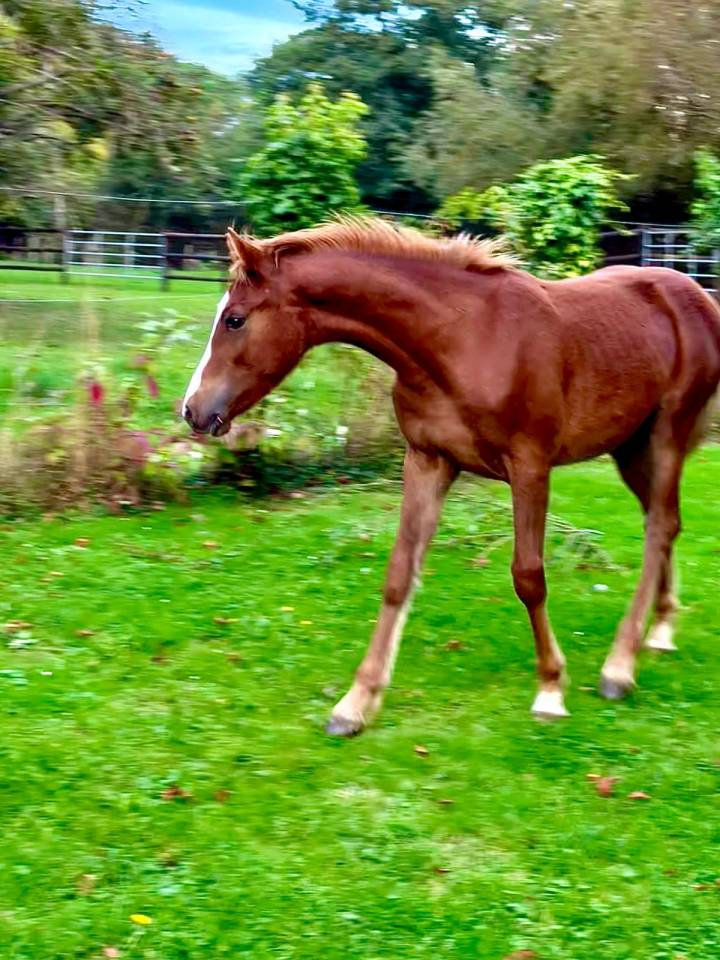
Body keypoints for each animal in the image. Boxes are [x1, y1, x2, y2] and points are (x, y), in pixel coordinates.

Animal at [182, 217, 720, 736]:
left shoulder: (530, 465)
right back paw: (659, 631)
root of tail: (697, 295)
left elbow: (528, 576)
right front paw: (355, 704)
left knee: (660, 527)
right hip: (630, 448)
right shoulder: (427, 460)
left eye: (235, 319)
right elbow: (400, 574)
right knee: (662, 522)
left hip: (668, 434)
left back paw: (619, 666)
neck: (461, 340)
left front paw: (550, 688)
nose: (191, 410)